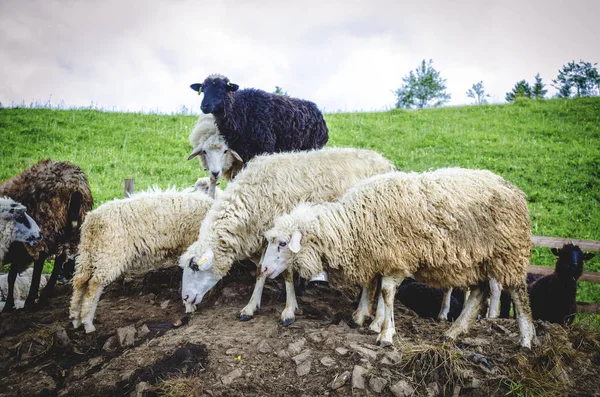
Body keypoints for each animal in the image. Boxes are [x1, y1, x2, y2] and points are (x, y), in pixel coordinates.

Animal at [70, 181, 216, 332]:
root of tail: (91, 221)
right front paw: (189, 306)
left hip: (88, 254)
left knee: (79, 282)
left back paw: (75, 319)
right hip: (109, 254)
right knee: (93, 286)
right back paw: (88, 323)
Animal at [178, 147, 396, 324]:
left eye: (195, 267)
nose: (185, 298)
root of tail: (386, 161)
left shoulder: (286, 239)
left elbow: (287, 274)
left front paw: (289, 310)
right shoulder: (265, 240)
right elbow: (261, 270)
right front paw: (250, 307)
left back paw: (369, 316)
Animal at [191, 73, 328, 162]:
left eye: (220, 88)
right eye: (203, 89)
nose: (204, 106)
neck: (240, 108)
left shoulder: (266, 146)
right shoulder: (241, 149)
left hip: (313, 146)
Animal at [262, 167, 536, 346]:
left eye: (283, 243)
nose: (263, 269)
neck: (352, 223)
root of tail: (514, 189)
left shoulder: (394, 259)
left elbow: (386, 292)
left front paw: (385, 333)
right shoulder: (375, 256)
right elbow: (371, 286)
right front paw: (364, 318)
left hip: (508, 252)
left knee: (518, 293)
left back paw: (526, 339)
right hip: (477, 260)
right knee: (479, 291)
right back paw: (454, 332)